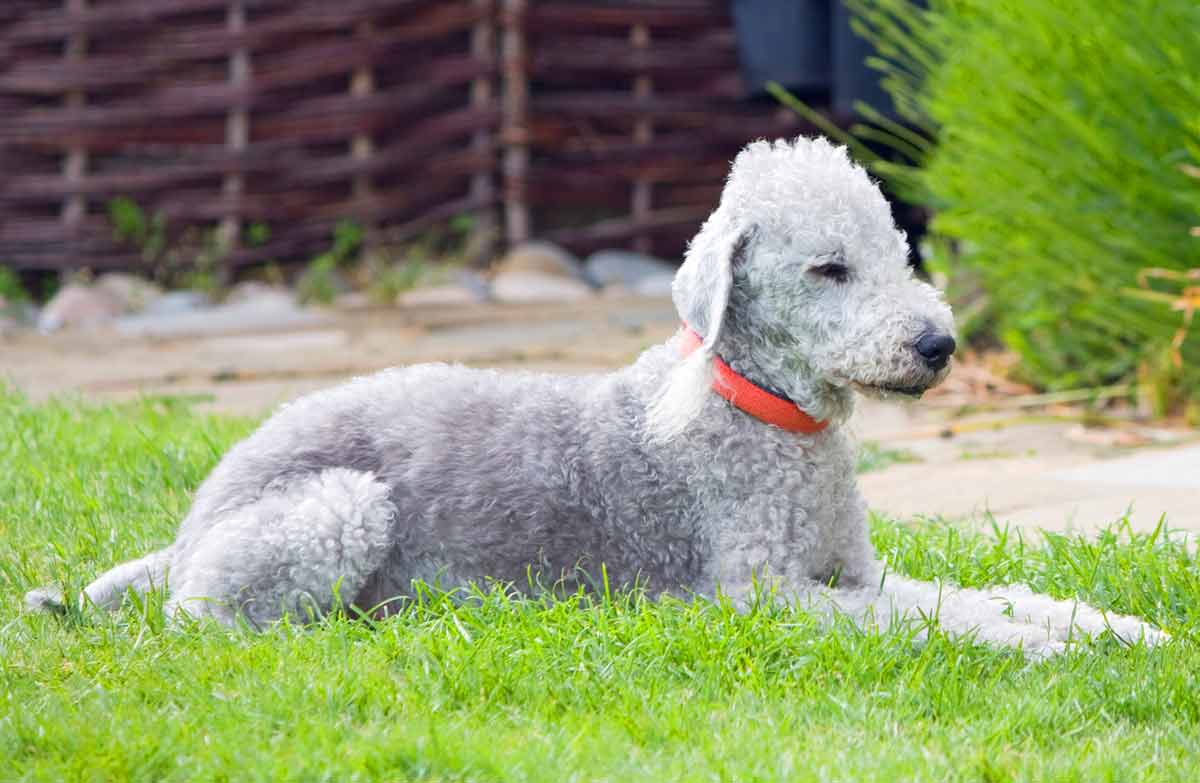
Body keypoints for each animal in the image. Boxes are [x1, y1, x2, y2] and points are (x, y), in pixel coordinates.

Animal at [28, 137, 1166, 658]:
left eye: (900, 252)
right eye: (828, 270)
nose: (939, 345)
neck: (769, 417)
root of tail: (196, 515)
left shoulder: (855, 571)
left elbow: (979, 595)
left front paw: (1117, 628)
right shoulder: (767, 596)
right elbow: (941, 621)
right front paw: (1054, 647)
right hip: (333, 509)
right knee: (207, 620)